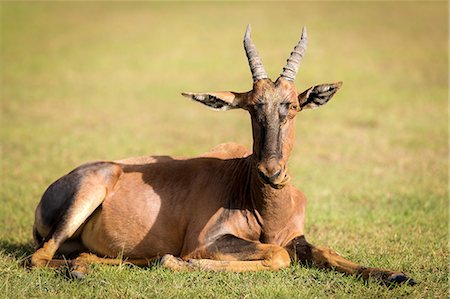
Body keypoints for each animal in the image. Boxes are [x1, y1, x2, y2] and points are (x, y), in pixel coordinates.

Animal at [30, 25, 414, 286]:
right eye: (251, 107)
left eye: (292, 105)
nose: (272, 172)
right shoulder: (209, 241)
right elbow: (277, 256)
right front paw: (180, 263)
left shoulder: (295, 237)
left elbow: (324, 251)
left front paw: (396, 275)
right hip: (85, 197)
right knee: (38, 258)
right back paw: (83, 270)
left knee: (89, 254)